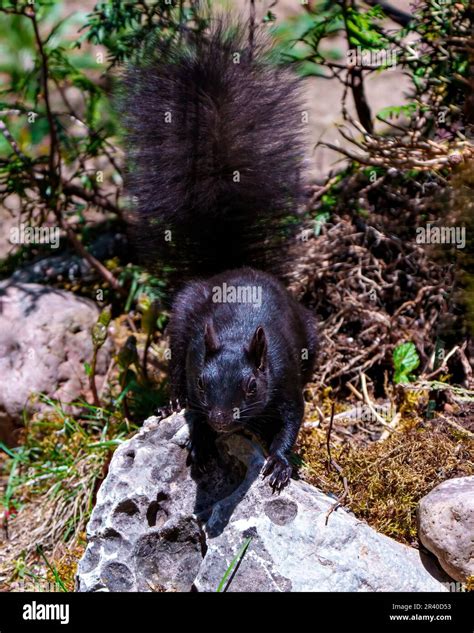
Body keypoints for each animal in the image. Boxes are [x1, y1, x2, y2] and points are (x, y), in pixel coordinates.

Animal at [120, 16, 316, 488]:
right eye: (205, 387)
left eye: (251, 387)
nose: (223, 420)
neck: (234, 336)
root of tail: (232, 268)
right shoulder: (195, 373)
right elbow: (193, 415)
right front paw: (204, 446)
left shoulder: (284, 378)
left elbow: (291, 421)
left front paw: (279, 463)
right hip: (179, 326)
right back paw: (168, 404)